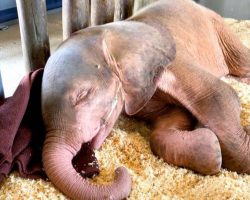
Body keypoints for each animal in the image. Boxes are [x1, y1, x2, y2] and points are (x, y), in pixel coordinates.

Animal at [41, 0, 250, 199]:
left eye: (83, 95)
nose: (118, 170)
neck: (110, 34)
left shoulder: (172, 59)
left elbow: (218, 94)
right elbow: (171, 119)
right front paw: (211, 147)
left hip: (218, 27)